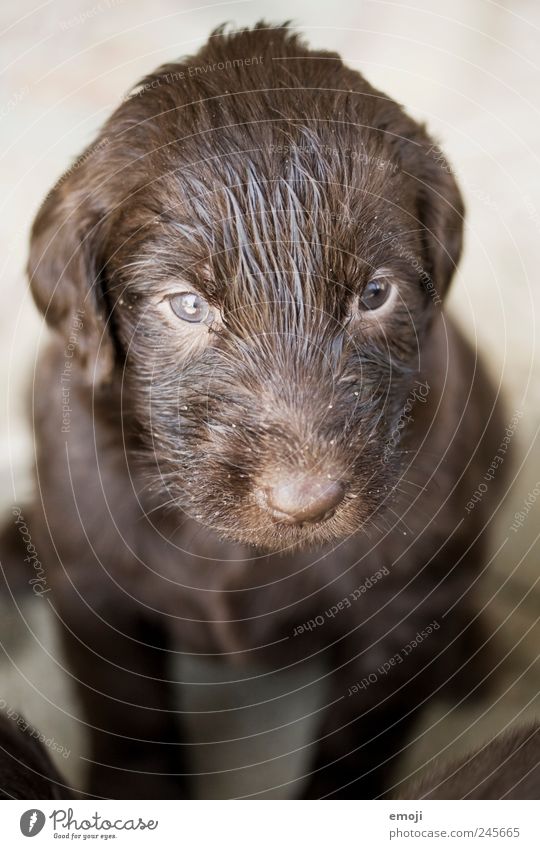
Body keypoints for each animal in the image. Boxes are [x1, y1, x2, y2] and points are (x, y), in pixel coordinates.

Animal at [17, 23, 506, 800]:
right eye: (188, 305)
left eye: (375, 293)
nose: (307, 503)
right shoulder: (89, 572)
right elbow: (130, 717)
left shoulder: (399, 603)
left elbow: (355, 743)